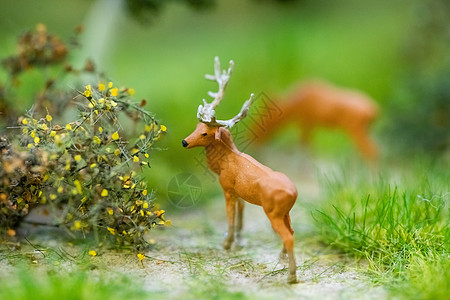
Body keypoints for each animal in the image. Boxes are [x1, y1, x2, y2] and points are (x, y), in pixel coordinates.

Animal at [181, 56, 300, 284]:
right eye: (196, 127)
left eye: (206, 133)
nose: (184, 142)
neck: (223, 163)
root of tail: (294, 193)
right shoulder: (239, 192)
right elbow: (241, 213)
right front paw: (239, 239)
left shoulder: (227, 188)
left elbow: (229, 217)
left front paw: (227, 243)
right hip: (286, 211)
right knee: (293, 231)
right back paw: (282, 258)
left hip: (272, 211)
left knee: (288, 236)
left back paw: (291, 276)